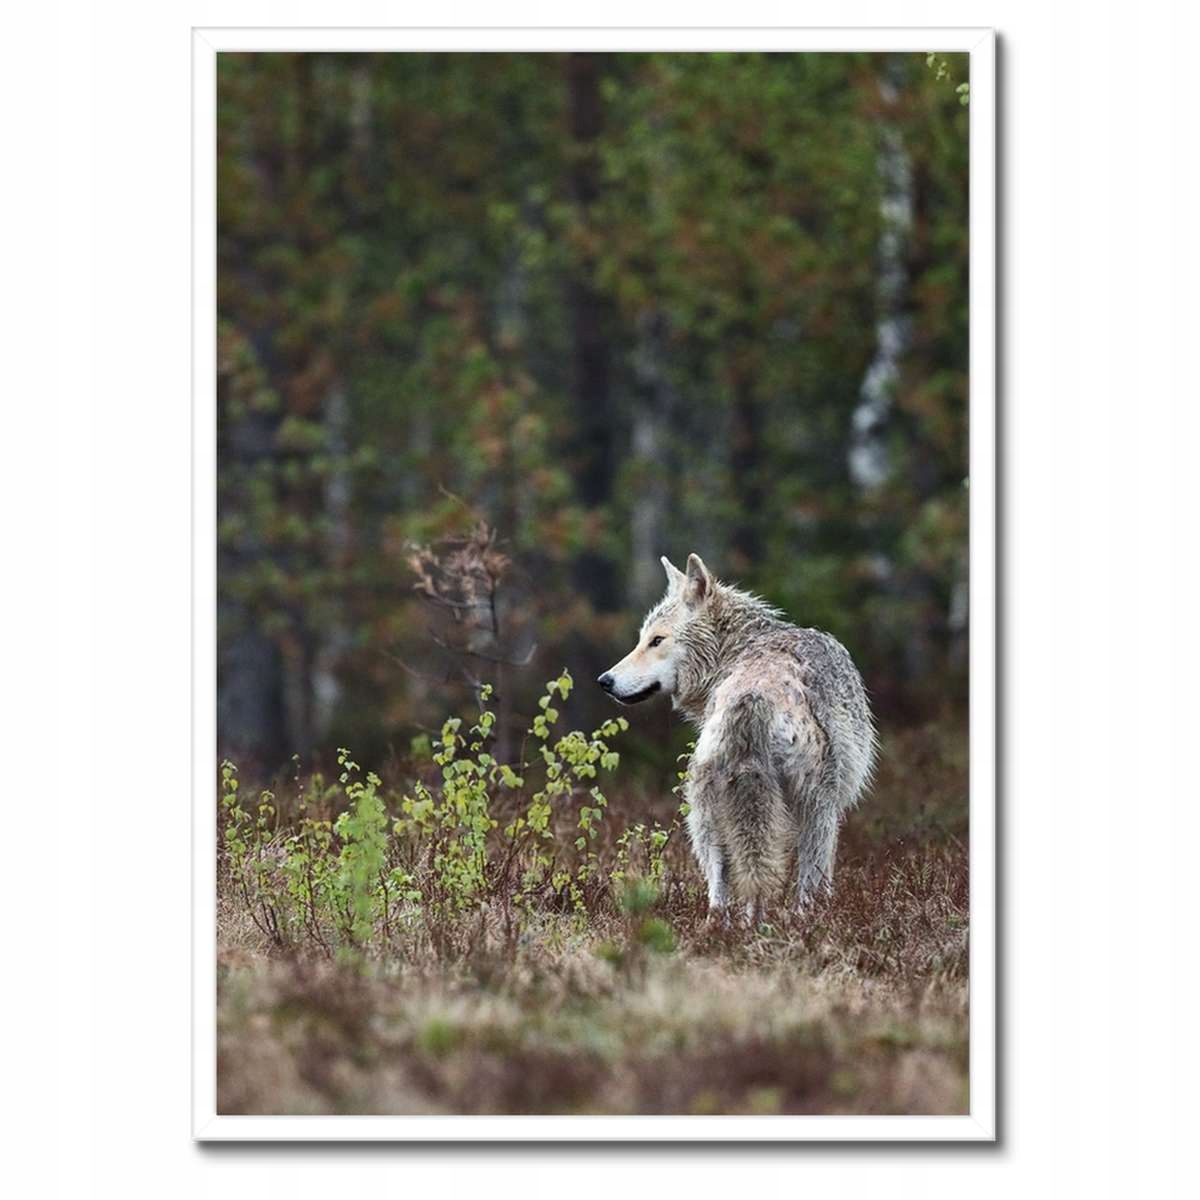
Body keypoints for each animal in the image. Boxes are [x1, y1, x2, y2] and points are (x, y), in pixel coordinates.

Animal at [598, 553, 876, 917]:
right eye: (644, 639)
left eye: (655, 640)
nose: (604, 680)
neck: (737, 648)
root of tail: (752, 697)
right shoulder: (829, 807)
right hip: (814, 807)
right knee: (803, 882)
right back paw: (800, 921)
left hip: (706, 811)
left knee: (721, 886)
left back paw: (725, 925)